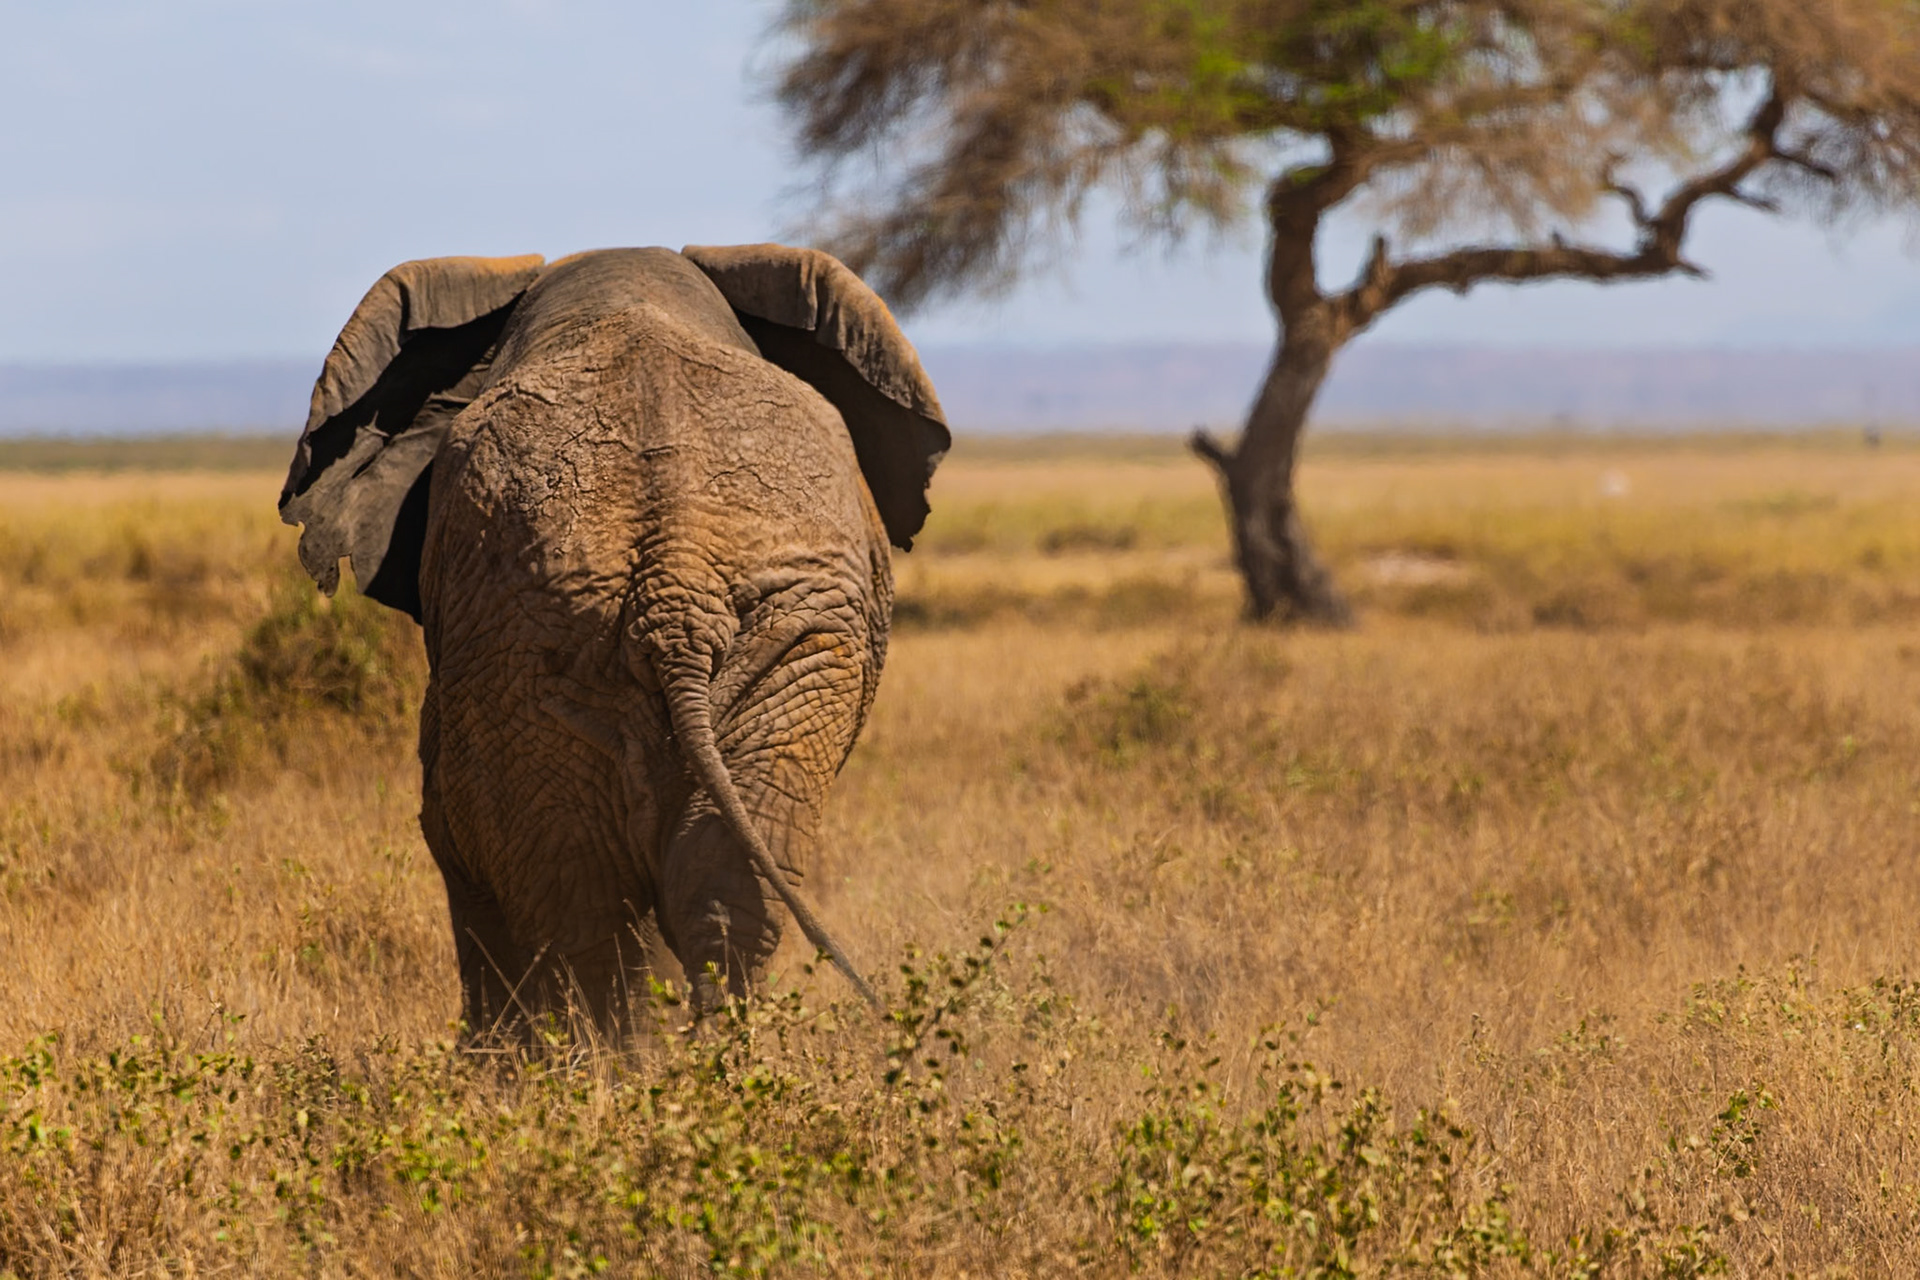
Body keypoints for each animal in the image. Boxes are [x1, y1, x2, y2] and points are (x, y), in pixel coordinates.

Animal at [277, 244, 949, 1030]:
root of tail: (672, 578)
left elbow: (452, 839)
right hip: (687, 646)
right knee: (694, 888)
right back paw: (703, 1059)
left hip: (711, 648)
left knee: (596, 903)